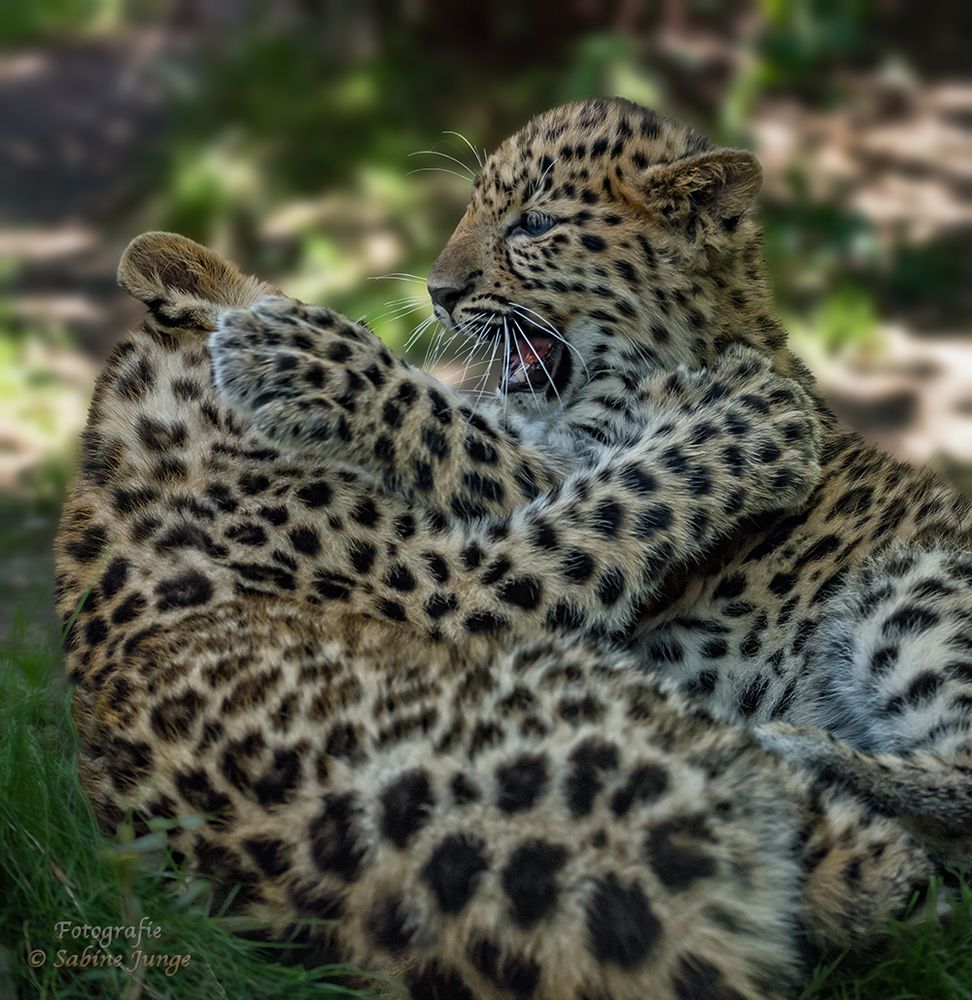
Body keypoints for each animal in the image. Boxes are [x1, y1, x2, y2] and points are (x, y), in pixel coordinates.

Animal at [55, 95, 972, 1000]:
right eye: (474, 209)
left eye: (532, 225)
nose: (438, 293)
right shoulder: (501, 518)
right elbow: (473, 429)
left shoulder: (532, 486)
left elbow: (469, 429)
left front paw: (300, 353)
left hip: (915, 593)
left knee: (954, 790)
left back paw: (799, 746)